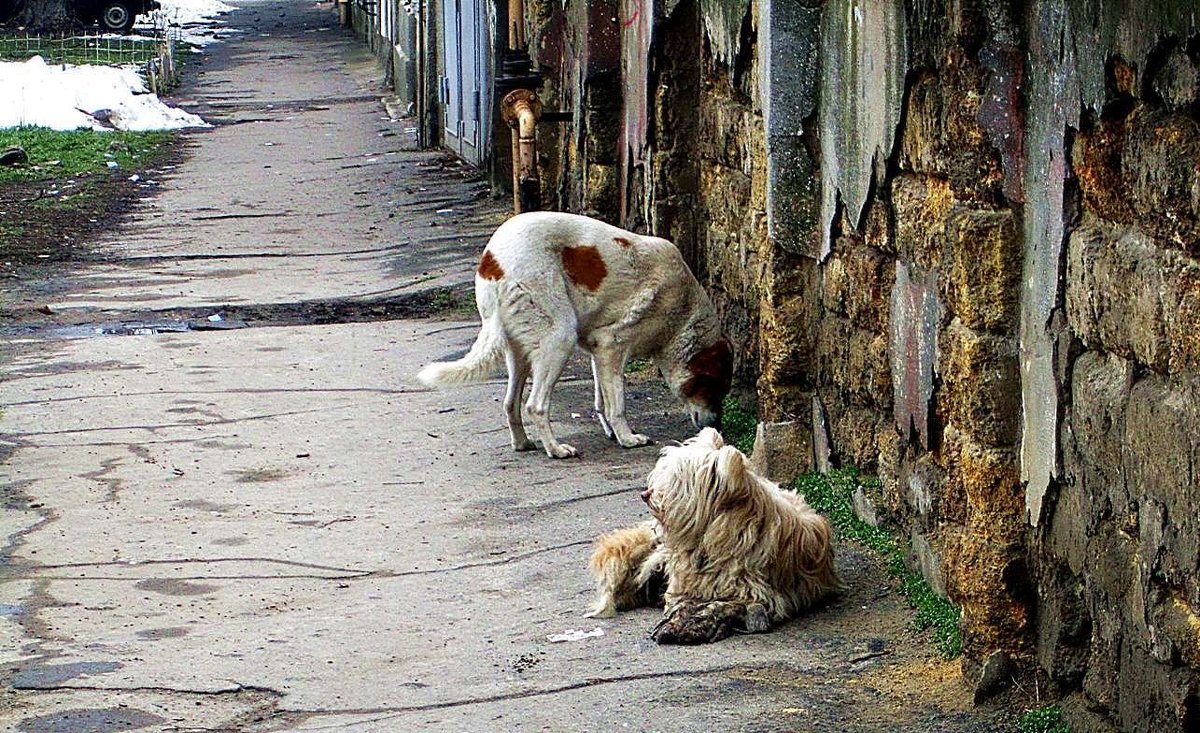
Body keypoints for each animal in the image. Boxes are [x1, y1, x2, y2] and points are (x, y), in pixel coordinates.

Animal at [412, 209, 729, 455]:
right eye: (714, 387)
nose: (717, 427)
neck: (683, 312)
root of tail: (492, 261)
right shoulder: (612, 347)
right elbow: (618, 405)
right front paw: (628, 439)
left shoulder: (599, 351)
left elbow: (602, 400)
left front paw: (611, 432)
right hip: (558, 339)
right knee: (535, 406)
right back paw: (555, 449)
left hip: (520, 353)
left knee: (511, 403)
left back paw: (523, 443)